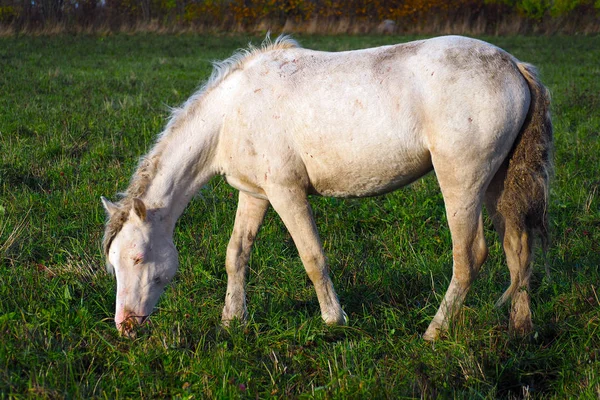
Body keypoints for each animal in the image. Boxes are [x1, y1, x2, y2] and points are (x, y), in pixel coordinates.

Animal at [101, 35, 552, 340]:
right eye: (115, 263)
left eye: (138, 258)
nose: (125, 326)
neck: (232, 111)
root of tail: (514, 65)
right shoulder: (255, 194)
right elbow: (236, 254)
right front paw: (232, 319)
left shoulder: (286, 193)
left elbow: (312, 257)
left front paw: (334, 320)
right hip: (498, 183)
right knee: (518, 248)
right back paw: (521, 327)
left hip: (461, 181)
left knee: (470, 255)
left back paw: (434, 332)